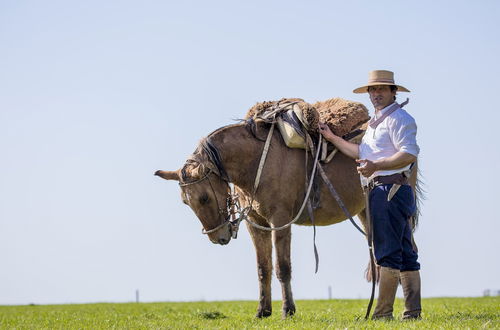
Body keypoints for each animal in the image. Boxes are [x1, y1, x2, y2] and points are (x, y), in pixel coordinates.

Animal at [155, 120, 418, 318]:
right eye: (185, 202)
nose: (218, 237)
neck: (257, 161)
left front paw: (287, 310)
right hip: (366, 213)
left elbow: (282, 267)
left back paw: (405, 311)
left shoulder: (279, 221)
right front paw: (262, 311)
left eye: (204, 198)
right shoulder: (256, 225)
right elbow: (263, 268)